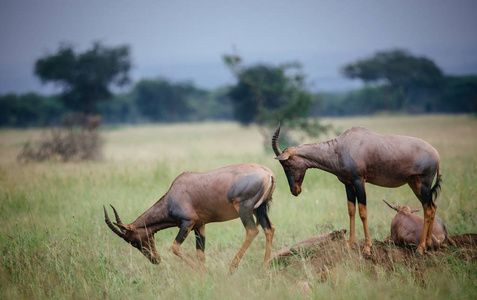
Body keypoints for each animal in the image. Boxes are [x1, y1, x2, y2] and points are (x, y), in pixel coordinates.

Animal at [104, 163, 276, 274]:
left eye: (133, 241)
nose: (155, 260)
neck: (173, 195)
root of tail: (268, 173)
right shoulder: (200, 225)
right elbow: (200, 253)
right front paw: (205, 272)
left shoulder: (187, 223)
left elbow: (174, 247)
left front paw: (204, 271)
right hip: (259, 209)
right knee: (269, 229)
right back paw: (264, 267)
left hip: (244, 209)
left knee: (252, 231)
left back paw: (232, 268)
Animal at [274, 124, 440, 258]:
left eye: (286, 164)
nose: (295, 190)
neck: (343, 146)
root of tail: (436, 155)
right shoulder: (348, 184)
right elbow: (351, 211)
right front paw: (349, 245)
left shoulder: (359, 181)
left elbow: (363, 212)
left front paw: (367, 249)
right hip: (414, 184)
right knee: (432, 207)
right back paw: (428, 245)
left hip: (423, 183)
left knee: (428, 209)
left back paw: (420, 250)